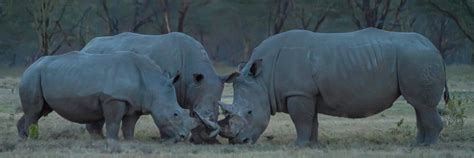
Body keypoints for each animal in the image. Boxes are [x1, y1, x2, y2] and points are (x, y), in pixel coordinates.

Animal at [17, 51, 197, 142]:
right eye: (175, 114)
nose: (183, 137)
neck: (154, 86)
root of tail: (29, 66)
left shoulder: (134, 103)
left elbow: (129, 125)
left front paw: (130, 142)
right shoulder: (114, 98)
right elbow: (113, 122)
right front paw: (112, 141)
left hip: (41, 75)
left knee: (39, 110)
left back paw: (24, 138)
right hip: (32, 76)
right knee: (35, 111)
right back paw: (34, 139)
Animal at [83, 31, 235, 143]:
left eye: (218, 113)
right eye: (195, 112)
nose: (207, 140)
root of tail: (87, 44)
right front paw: (167, 139)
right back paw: (97, 137)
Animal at [220, 28, 450, 146]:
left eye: (250, 112)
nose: (239, 142)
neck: (263, 79)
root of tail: (435, 49)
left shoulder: (298, 93)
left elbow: (301, 120)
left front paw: (298, 146)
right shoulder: (307, 93)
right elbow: (311, 121)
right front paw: (312, 146)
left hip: (417, 58)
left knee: (422, 105)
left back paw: (428, 146)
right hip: (415, 58)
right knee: (419, 105)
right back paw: (417, 145)